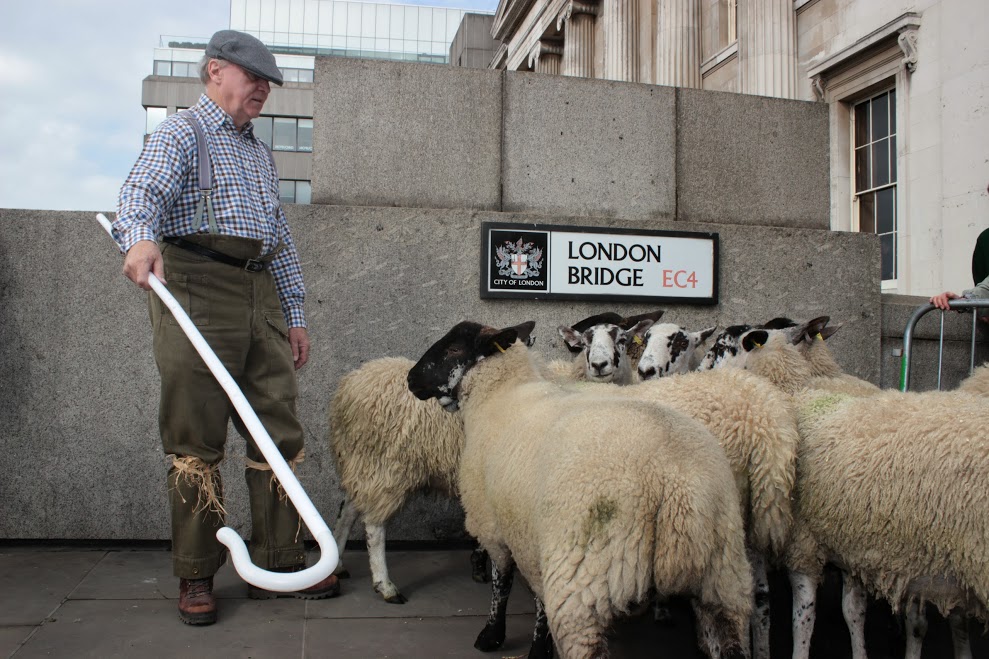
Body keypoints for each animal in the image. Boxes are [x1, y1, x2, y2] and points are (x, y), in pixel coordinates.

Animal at [328, 360, 486, 604]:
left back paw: (337, 564)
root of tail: (350, 386)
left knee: (347, 510)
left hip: (362, 465)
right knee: (374, 525)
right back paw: (386, 586)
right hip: (387, 468)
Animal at [406, 320, 752, 659]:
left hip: (585, 573)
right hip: (723, 572)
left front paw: (496, 636)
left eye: (453, 348)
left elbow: (503, 584)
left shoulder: (499, 526)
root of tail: (675, 482)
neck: (500, 394)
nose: (411, 379)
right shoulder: (531, 537)